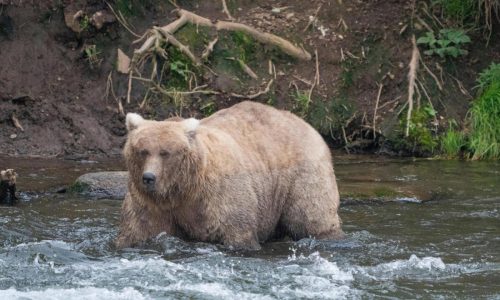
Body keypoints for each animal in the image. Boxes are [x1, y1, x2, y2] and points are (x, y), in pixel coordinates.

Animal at [117, 102, 344, 250]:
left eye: (165, 152)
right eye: (143, 151)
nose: (149, 177)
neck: (182, 189)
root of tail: (307, 125)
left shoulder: (219, 196)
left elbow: (237, 231)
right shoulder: (150, 204)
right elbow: (138, 230)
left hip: (301, 175)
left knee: (311, 216)